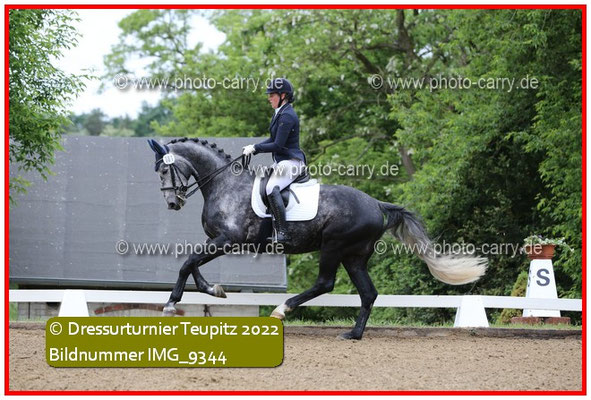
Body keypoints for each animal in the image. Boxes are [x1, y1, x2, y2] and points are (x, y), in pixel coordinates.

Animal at [147, 137, 487, 340]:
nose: (173, 203)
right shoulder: (217, 241)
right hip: (354, 255)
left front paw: (170, 304)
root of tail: (377, 204)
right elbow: (193, 264)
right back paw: (353, 334)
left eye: (164, 172)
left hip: (334, 247)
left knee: (325, 283)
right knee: (368, 293)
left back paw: (282, 310)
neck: (223, 185)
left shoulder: (227, 240)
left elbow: (187, 262)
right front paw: (213, 290)